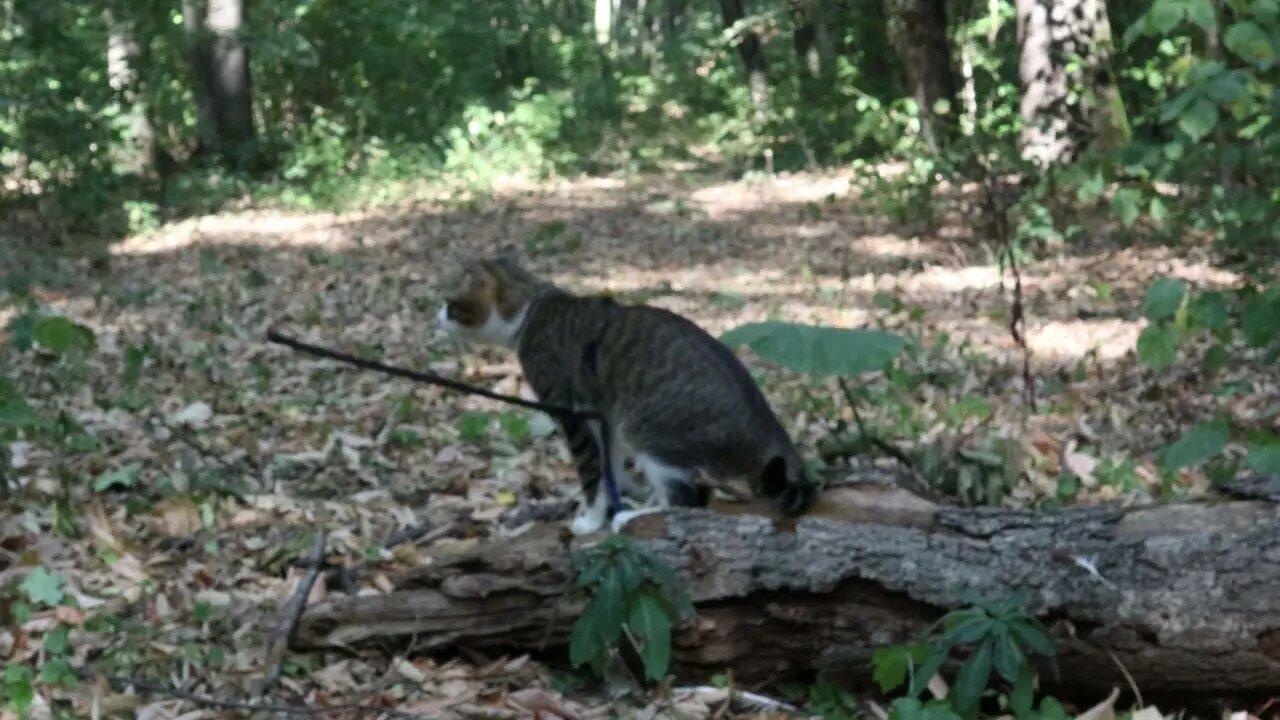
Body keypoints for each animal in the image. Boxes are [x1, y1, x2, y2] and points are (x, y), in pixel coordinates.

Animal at [440, 253, 814, 532]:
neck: (533, 309)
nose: (436, 316)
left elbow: (591, 473)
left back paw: (633, 514)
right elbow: (610, 468)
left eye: (449, 303)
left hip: (649, 431)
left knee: (688, 500)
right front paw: (618, 496)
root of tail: (767, 424)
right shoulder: (605, 415)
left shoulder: (570, 412)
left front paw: (592, 520)